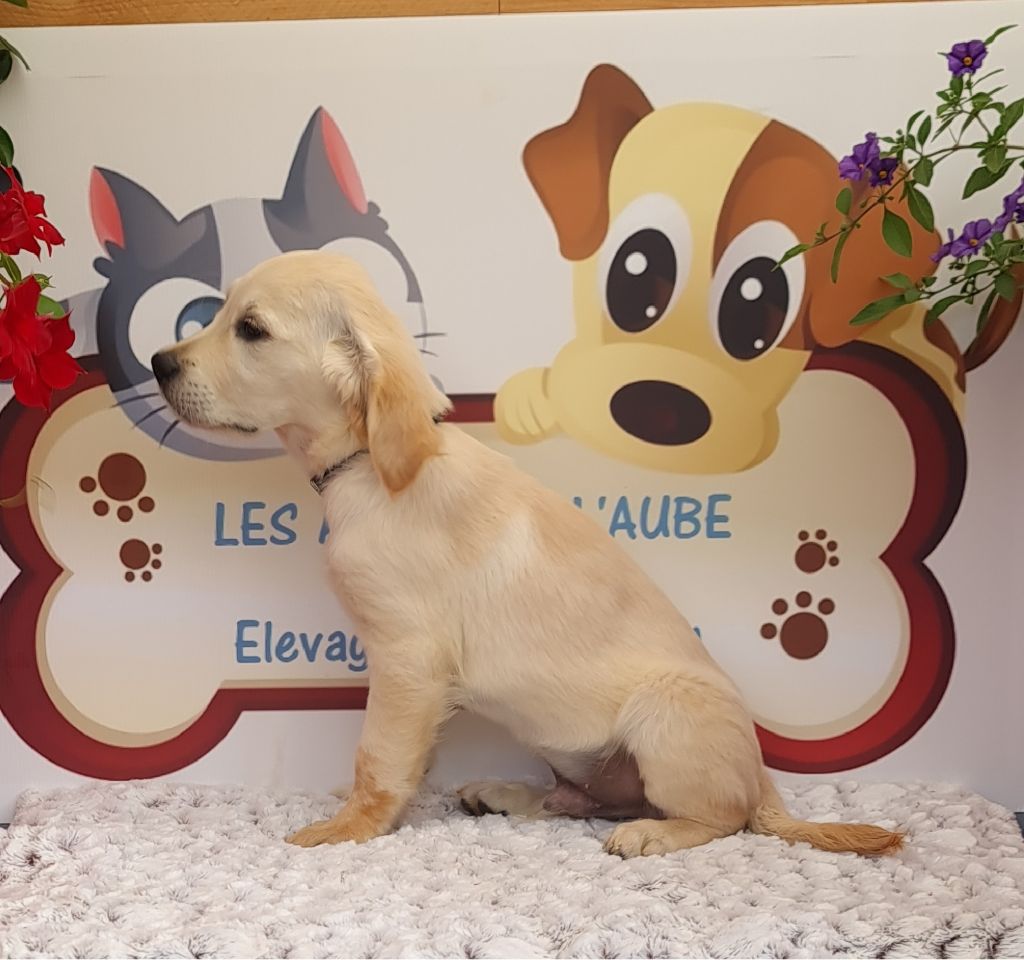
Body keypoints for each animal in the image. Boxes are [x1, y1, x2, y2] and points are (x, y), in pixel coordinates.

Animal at [152, 249, 903, 858]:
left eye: (251, 329)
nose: (159, 363)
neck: (369, 462)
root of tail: (763, 774)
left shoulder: (407, 658)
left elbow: (379, 755)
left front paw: (352, 827)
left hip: (666, 713)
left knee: (718, 817)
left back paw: (654, 834)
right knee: (588, 801)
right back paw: (507, 795)